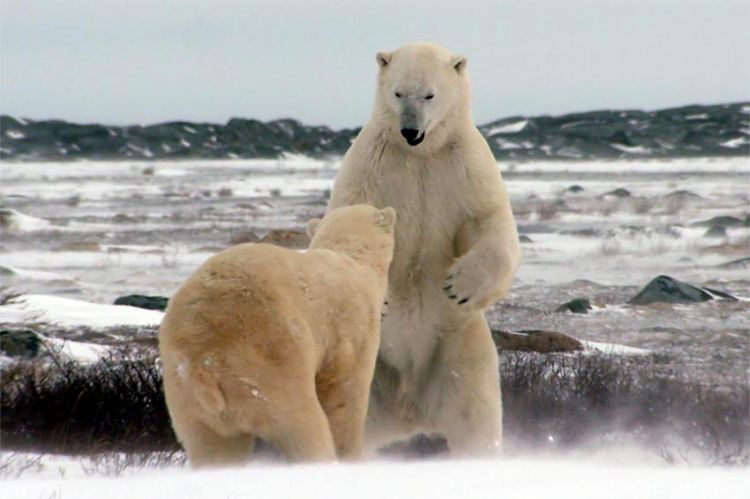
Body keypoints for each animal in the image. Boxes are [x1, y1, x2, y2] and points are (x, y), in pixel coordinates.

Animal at [159, 204, 400, 468]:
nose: (388, 304)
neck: (351, 260)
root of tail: (205, 361)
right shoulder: (353, 329)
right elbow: (346, 394)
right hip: (269, 364)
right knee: (303, 424)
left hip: (185, 397)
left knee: (213, 448)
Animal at [328, 42, 524, 458]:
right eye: (399, 92)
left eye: (429, 95)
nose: (410, 130)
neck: (419, 155)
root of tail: (410, 411)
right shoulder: (372, 163)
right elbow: (346, 219)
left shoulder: (465, 165)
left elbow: (491, 222)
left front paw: (458, 285)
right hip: (366, 365)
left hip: (460, 354)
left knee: (476, 423)